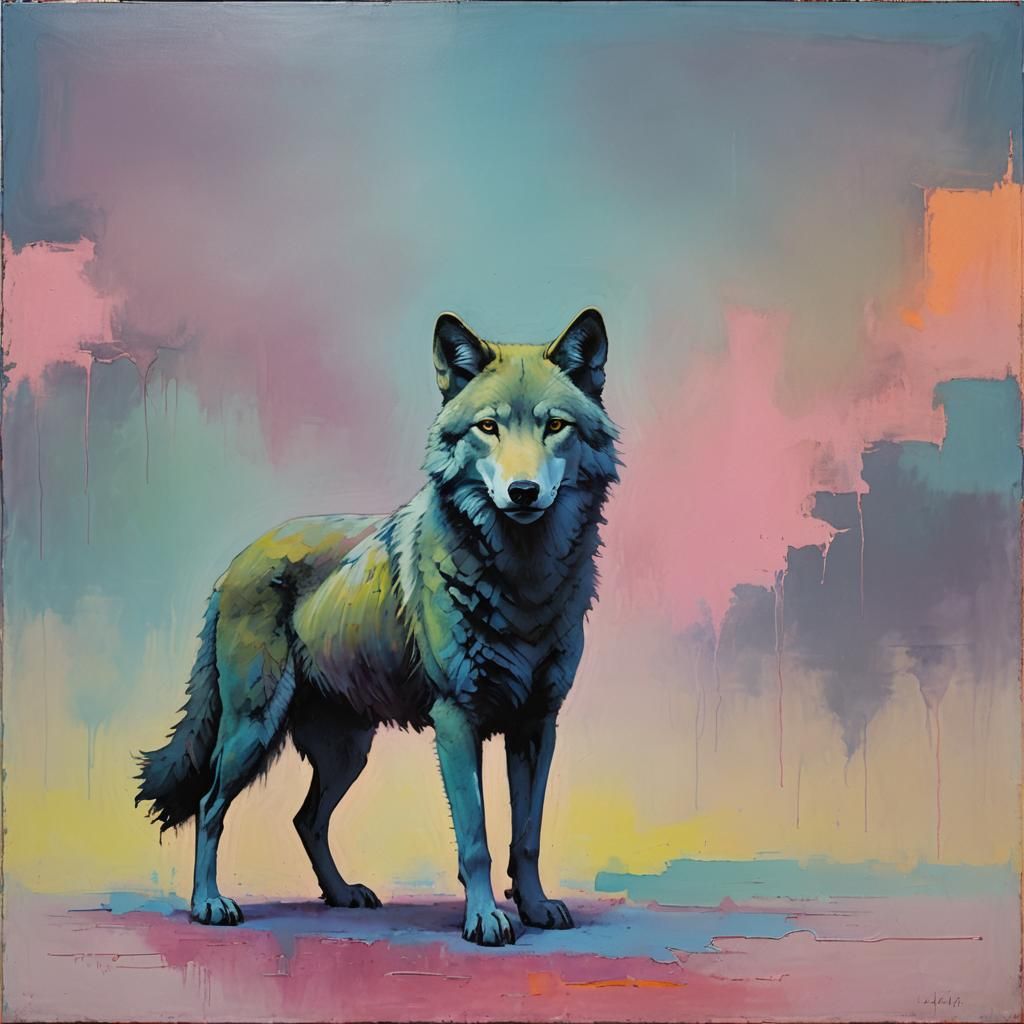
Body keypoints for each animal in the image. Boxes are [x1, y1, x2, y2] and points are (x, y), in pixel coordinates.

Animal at [136, 308, 619, 946]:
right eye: (488, 427)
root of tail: (234, 563)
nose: (522, 492)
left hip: (348, 752)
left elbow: (528, 836)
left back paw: (342, 895)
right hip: (252, 731)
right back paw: (209, 904)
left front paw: (536, 908)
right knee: (211, 805)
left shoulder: (538, 725)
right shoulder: (456, 721)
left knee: (305, 819)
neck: (524, 583)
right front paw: (485, 919)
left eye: (555, 426)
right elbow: (477, 839)